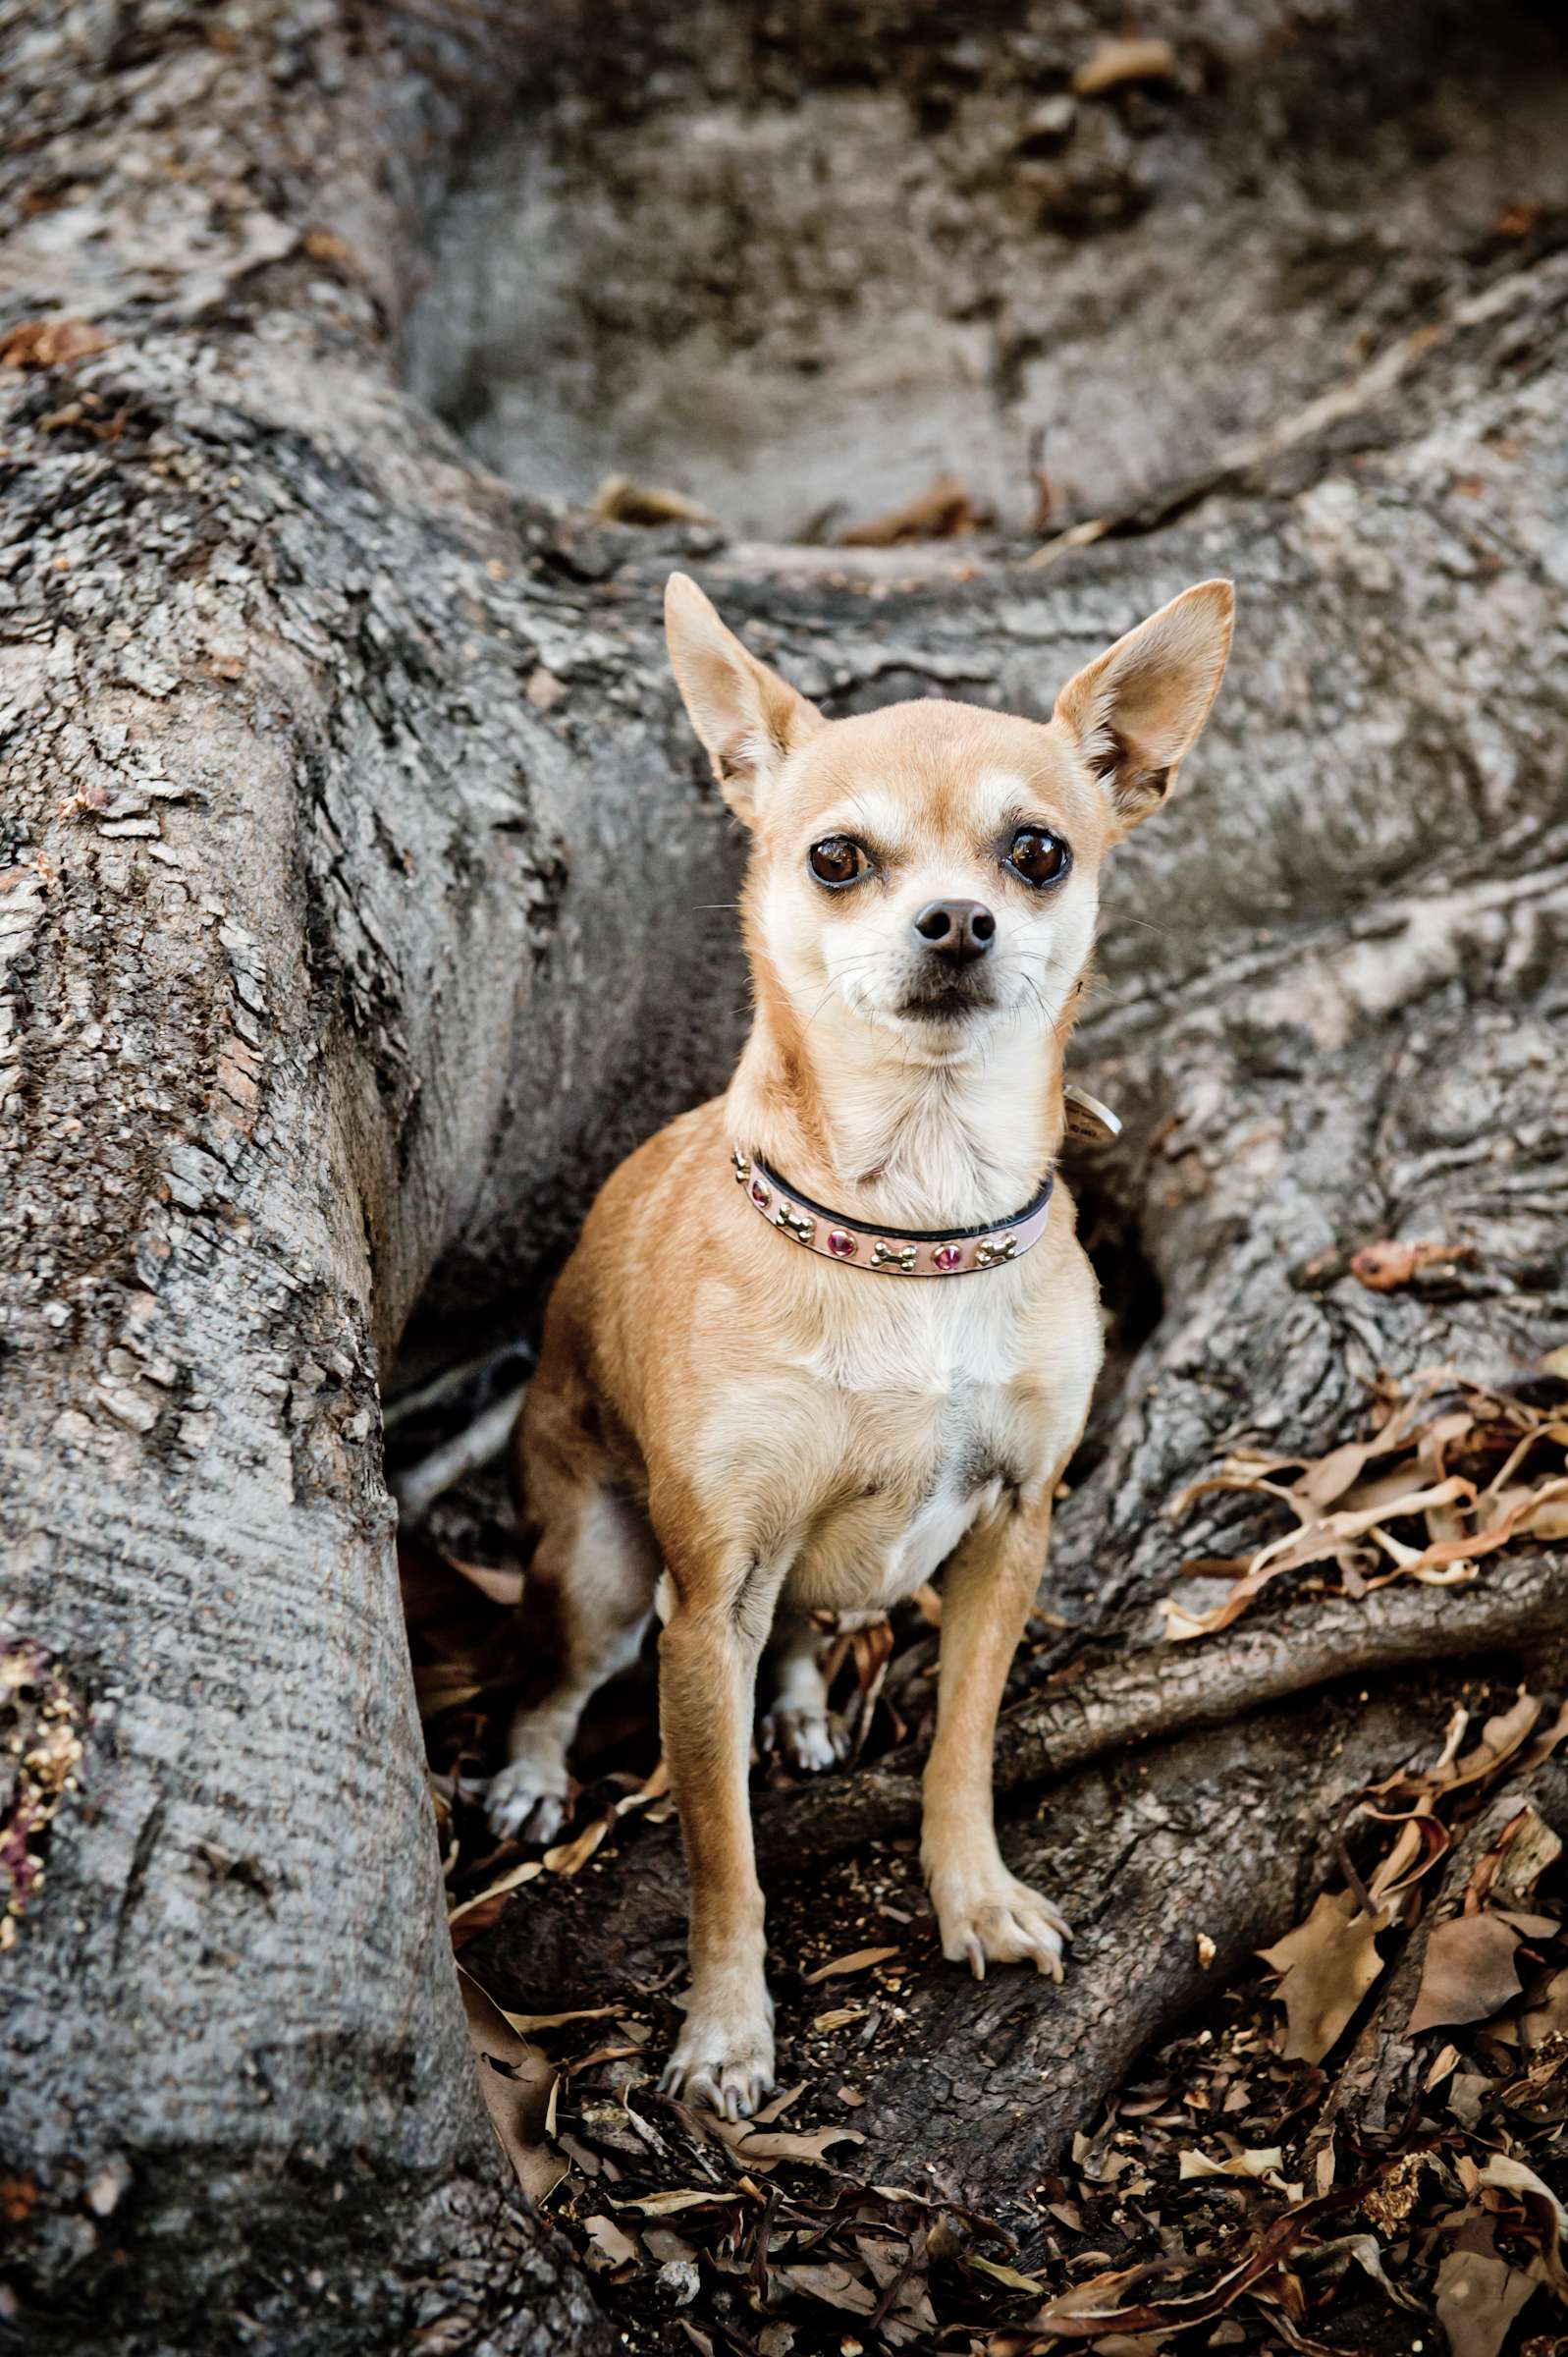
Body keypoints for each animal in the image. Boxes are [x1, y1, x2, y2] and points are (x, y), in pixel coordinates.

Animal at [490, 566, 1235, 2121]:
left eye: (1037, 853)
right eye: (836, 860)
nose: (956, 921)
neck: (919, 1219)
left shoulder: (1013, 1528)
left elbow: (961, 1743)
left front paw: (973, 1896)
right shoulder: (705, 1599)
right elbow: (721, 1853)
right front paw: (725, 2032)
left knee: (801, 1635)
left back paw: (801, 1709)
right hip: (601, 1572)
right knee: (555, 1673)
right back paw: (532, 1773)